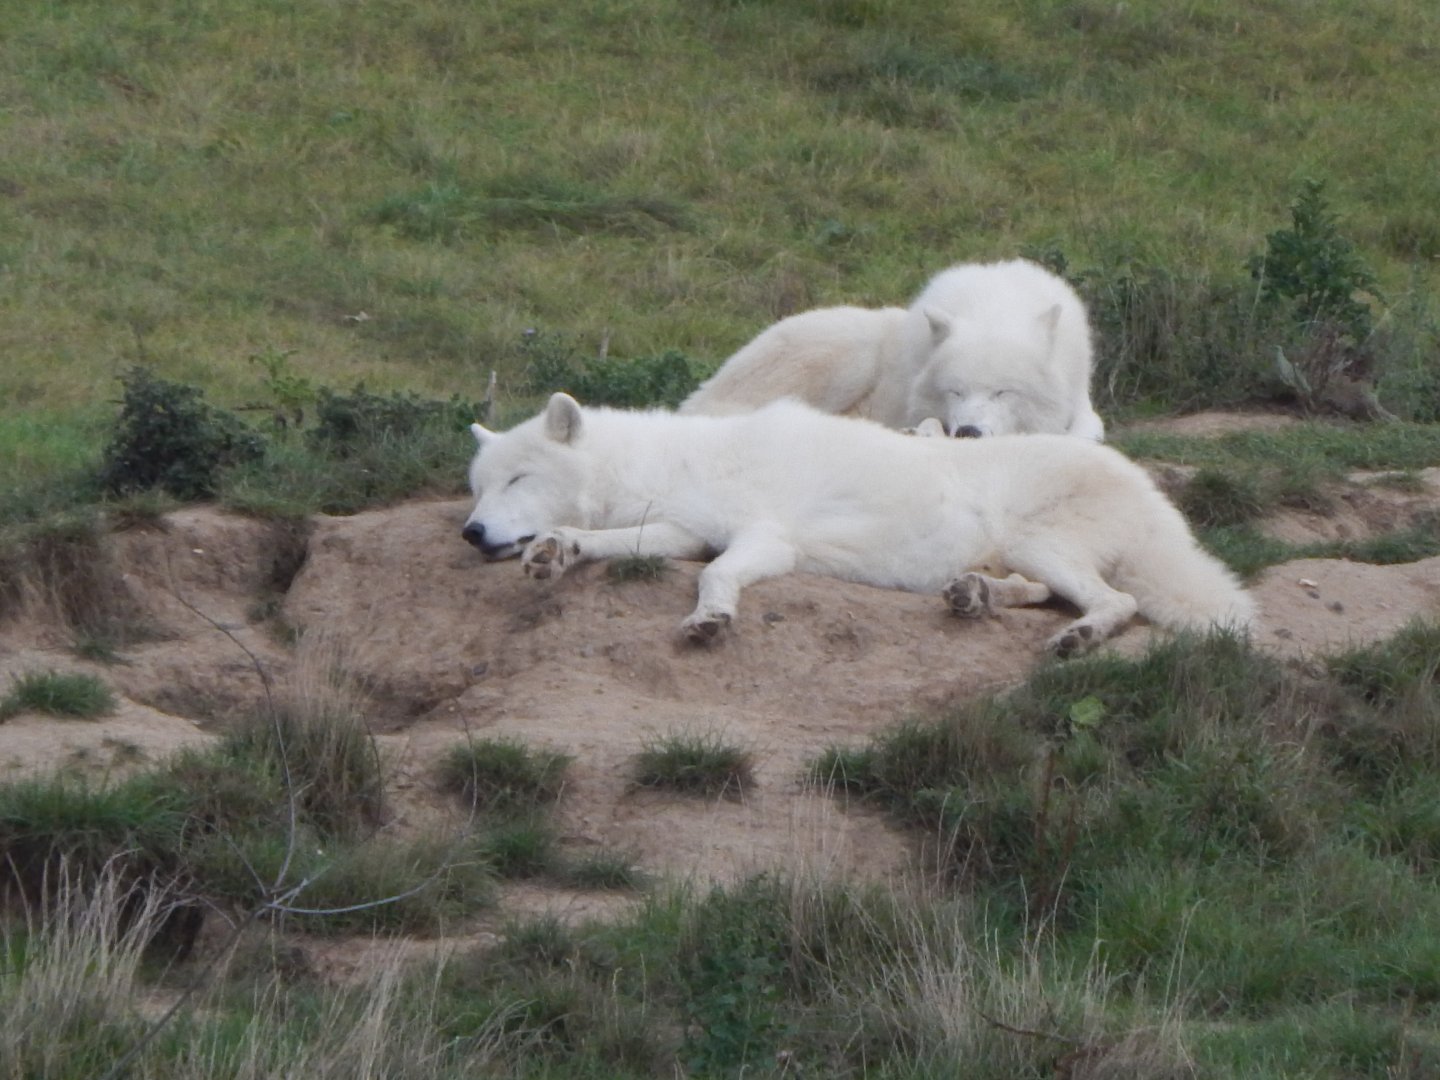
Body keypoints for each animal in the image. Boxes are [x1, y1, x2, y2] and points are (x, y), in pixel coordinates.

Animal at [461, 394, 1253, 657]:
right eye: (478, 488)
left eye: (517, 480)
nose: (470, 534)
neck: (675, 462)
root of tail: (1152, 494)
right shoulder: (678, 532)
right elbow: (602, 543)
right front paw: (554, 552)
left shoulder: (762, 540)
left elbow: (716, 575)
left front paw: (711, 621)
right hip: (1025, 556)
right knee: (1036, 592)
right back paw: (976, 597)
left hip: (1044, 544)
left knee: (1118, 602)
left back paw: (1078, 639)